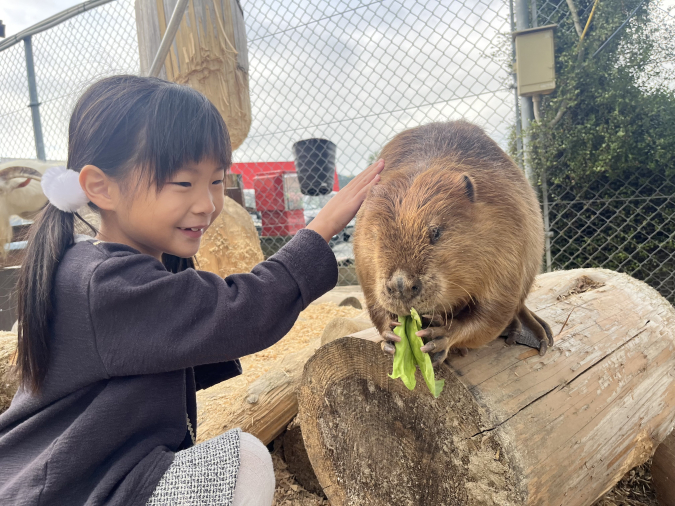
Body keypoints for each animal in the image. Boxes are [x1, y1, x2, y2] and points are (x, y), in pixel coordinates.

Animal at [354, 120, 556, 364]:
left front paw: (441, 337)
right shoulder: (363, 260)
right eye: (376, 235)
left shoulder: (509, 236)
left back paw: (534, 332)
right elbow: (374, 305)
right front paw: (390, 336)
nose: (401, 286)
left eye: (436, 232)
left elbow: (495, 311)